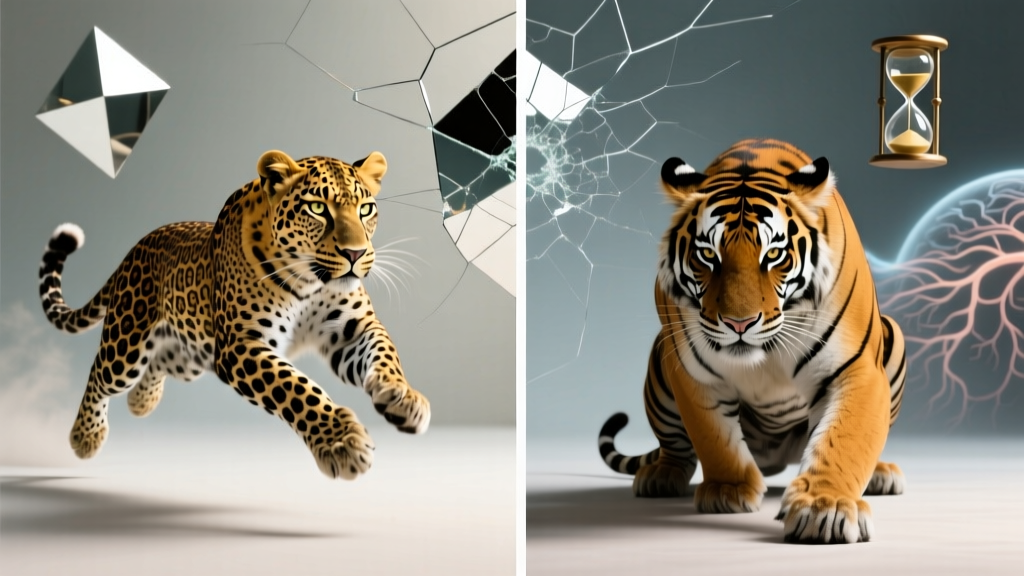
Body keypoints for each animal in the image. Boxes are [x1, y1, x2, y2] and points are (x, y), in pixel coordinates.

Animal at [38, 149, 430, 479]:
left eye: (365, 209)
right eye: (318, 208)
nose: (355, 253)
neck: (310, 282)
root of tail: (132, 251)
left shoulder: (351, 330)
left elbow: (384, 352)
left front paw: (403, 397)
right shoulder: (241, 345)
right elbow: (296, 388)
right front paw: (341, 441)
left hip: (192, 354)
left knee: (160, 362)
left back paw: (142, 401)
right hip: (127, 342)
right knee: (100, 374)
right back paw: (85, 437)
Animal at [597, 139, 906, 543]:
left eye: (773, 254)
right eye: (707, 255)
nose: (738, 323)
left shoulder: (856, 369)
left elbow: (846, 438)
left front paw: (825, 508)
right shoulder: (692, 371)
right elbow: (714, 437)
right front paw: (728, 491)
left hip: (893, 333)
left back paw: (881, 474)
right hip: (660, 362)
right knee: (675, 446)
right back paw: (661, 475)